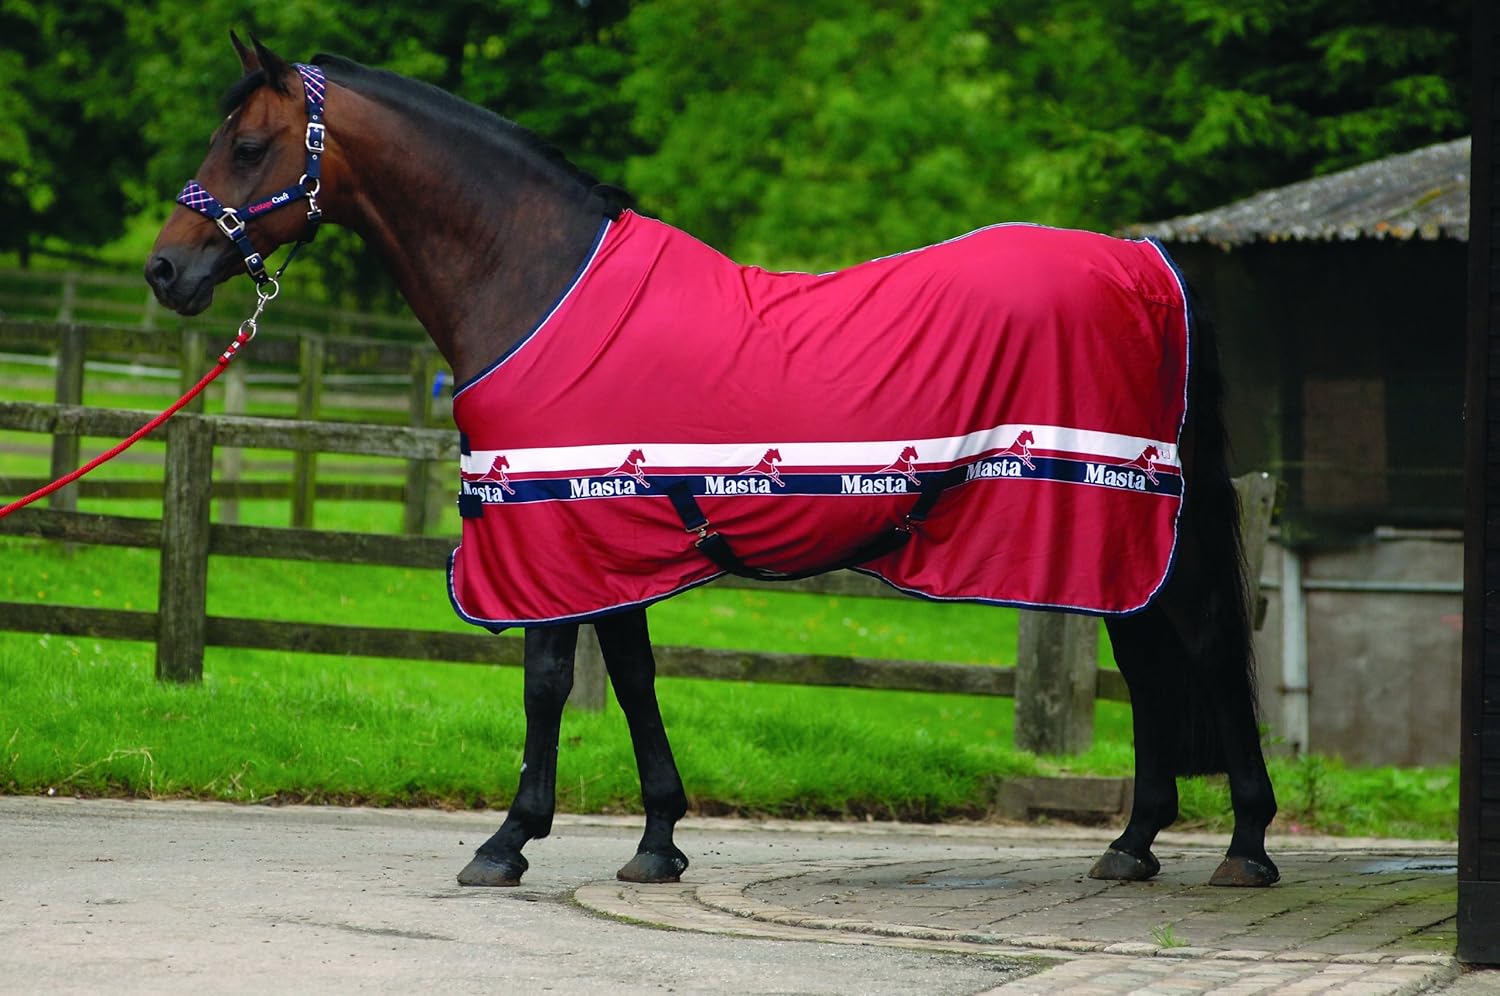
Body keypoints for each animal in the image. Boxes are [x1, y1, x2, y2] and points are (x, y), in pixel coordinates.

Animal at [145, 35, 1279, 890]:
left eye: (249, 144)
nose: (164, 270)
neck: (535, 280)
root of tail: (1151, 269)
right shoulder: (607, 527)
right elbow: (632, 677)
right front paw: (657, 841)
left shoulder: (549, 526)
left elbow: (548, 683)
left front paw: (507, 842)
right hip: (1116, 527)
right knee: (1146, 654)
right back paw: (1134, 845)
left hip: (1132, 513)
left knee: (1205, 645)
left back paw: (1246, 846)